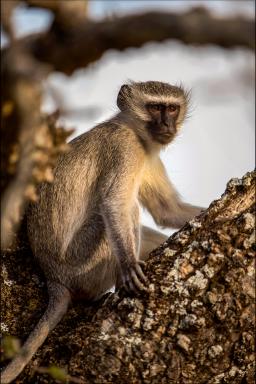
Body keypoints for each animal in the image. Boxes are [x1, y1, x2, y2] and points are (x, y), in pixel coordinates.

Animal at [0, 80, 204, 380]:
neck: (135, 132)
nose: (167, 125)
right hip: (82, 264)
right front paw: (130, 265)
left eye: (172, 108)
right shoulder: (125, 148)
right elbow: (114, 203)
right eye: (155, 108)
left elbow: (168, 210)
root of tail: (53, 277)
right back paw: (119, 283)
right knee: (126, 211)